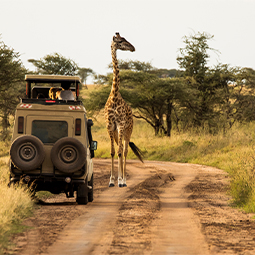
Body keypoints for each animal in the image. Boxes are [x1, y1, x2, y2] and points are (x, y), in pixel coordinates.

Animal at [104, 32, 143, 187]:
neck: (114, 95)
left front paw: (120, 180)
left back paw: (124, 180)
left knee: (125, 150)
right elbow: (113, 151)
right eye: (120, 41)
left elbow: (121, 151)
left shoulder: (120, 125)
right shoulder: (110, 126)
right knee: (119, 149)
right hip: (117, 132)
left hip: (128, 130)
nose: (133, 48)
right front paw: (111, 181)